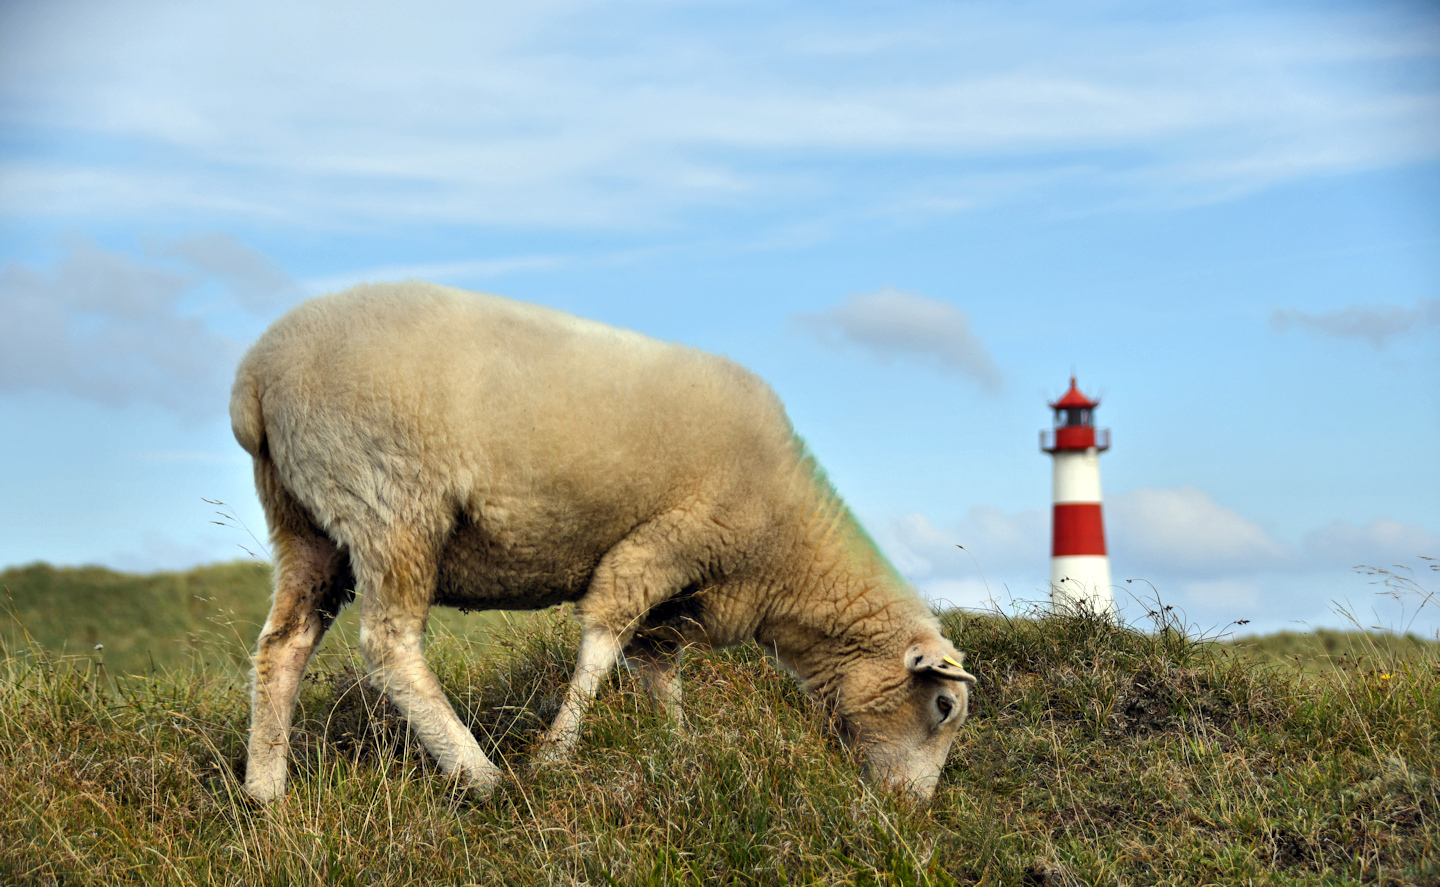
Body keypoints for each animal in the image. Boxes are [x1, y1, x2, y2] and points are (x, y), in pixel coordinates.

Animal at [230, 282, 979, 806]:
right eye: (943, 707)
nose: (913, 808)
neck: (785, 555)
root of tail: (256, 378)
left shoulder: (679, 591)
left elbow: (658, 670)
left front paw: (679, 746)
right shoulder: (666, 541)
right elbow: (603, 639)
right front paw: (555, 756)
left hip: (306, 522)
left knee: (283, 645)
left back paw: (266, 790)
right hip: (391, 503)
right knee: (389, 647)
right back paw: (481, 776)